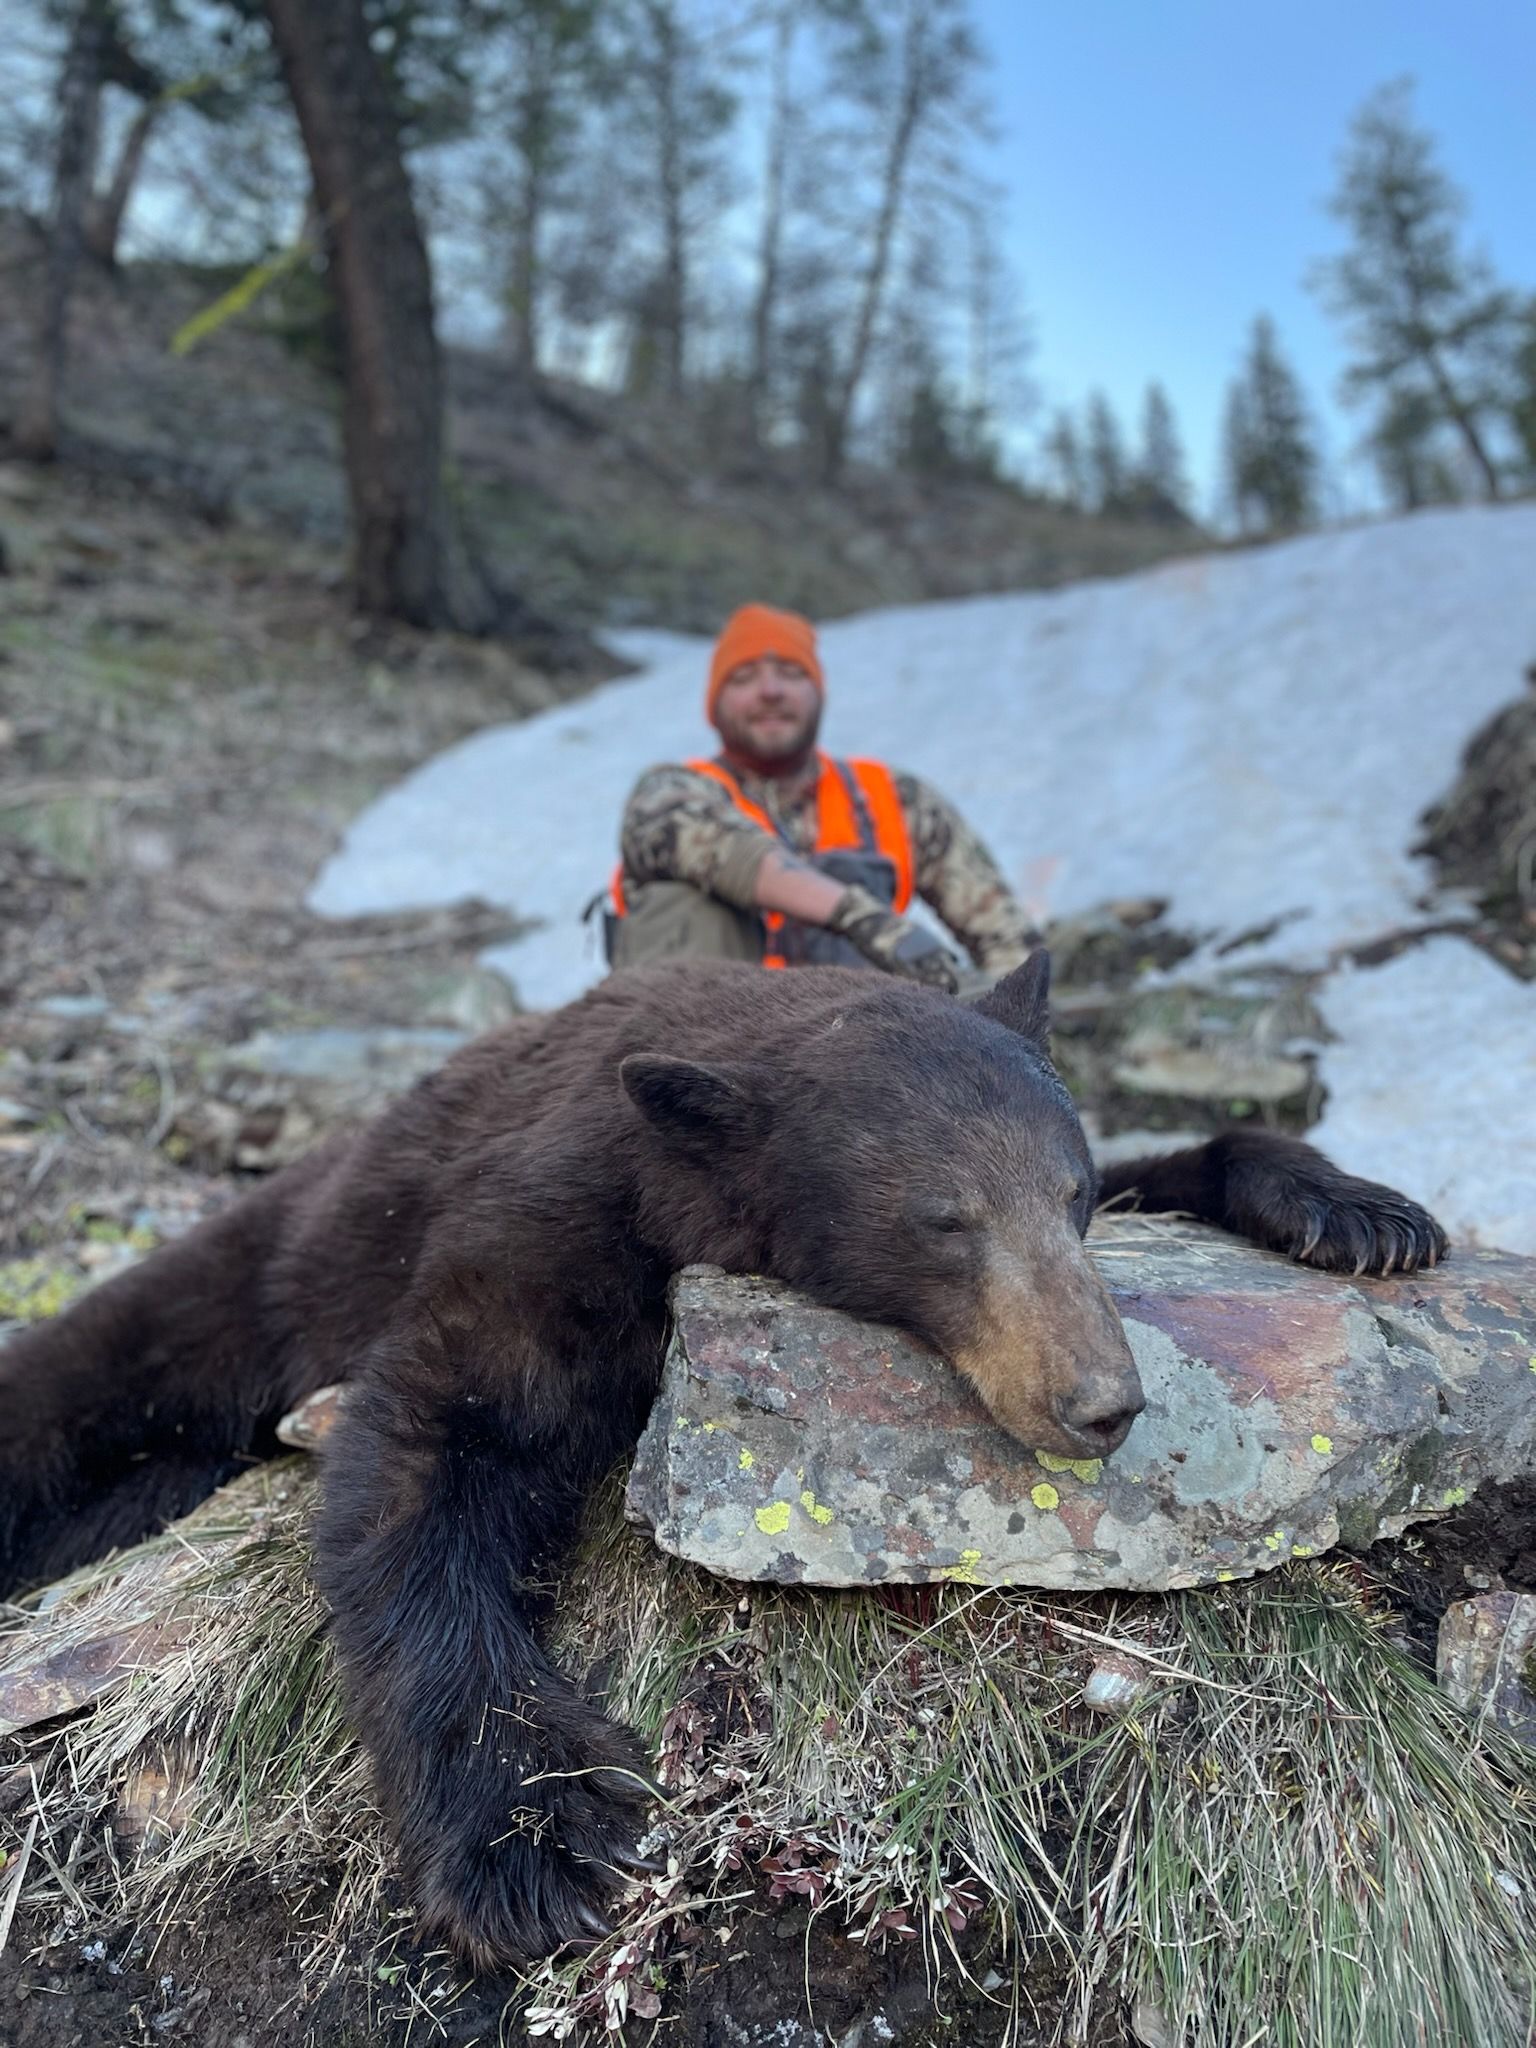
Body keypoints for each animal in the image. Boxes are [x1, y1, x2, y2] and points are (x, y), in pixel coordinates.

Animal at [0, 955, 1445, 1967]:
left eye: (1072, 1192)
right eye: (944, 1219)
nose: (1098, 1401)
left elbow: (1192, 1164)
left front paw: (1356, 1207)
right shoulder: (553, 1220)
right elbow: (436, 1452)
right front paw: (537, 1835)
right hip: (245, 1283)